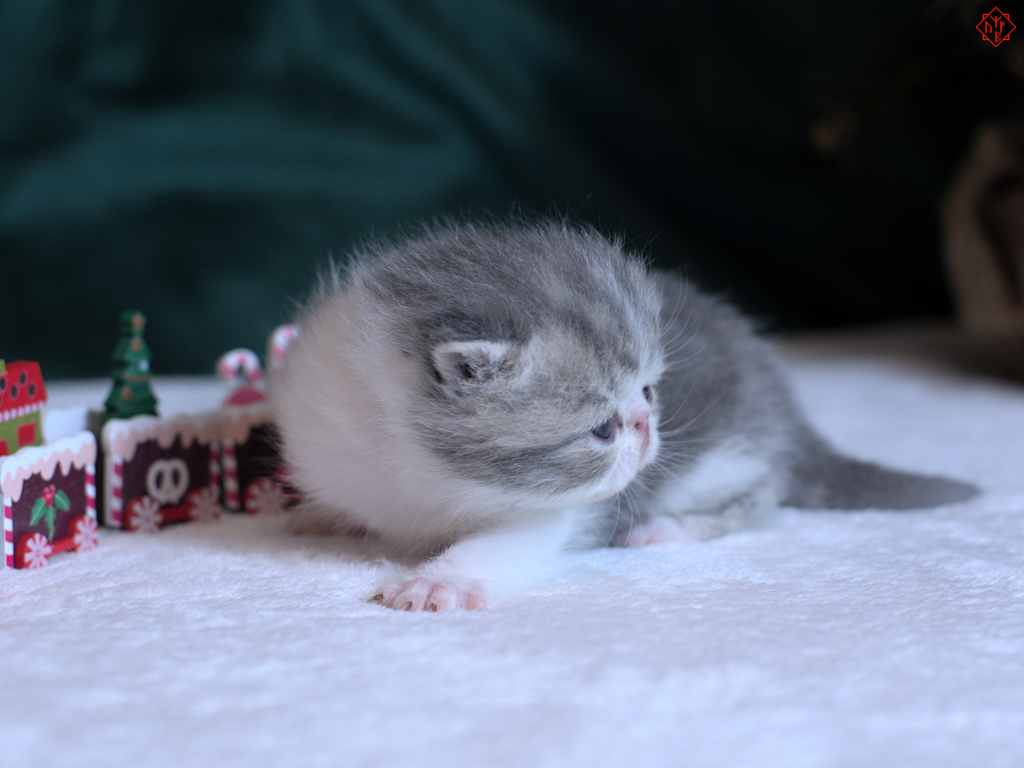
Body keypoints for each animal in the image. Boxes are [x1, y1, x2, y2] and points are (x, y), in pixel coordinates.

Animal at [272, 219, 977, 611]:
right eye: (602, 427)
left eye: (648, 392)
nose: (647, 427)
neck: (420, 471)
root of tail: (784, 407)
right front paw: (324, 515)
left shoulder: (555, 512)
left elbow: (504, 544)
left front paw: (439, 583)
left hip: (728, 455)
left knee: (763, 492)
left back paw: (665, 529)